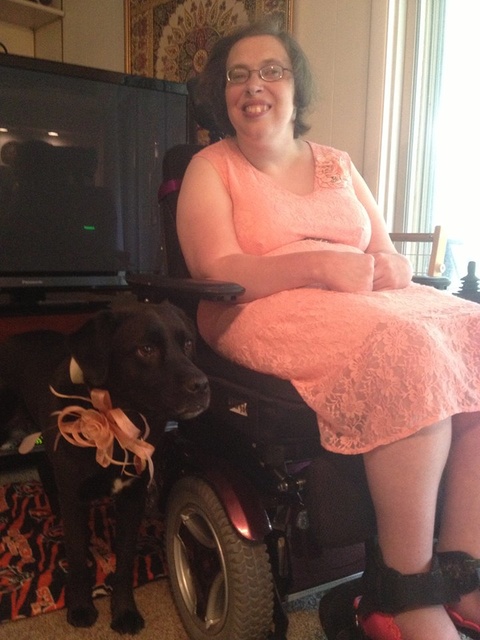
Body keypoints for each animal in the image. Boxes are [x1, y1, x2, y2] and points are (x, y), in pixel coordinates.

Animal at [0, 302, 210, 632]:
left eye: (188, 343)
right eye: (146, 349)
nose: (202, 385)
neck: (118, 419)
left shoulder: (132, 498)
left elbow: (124, 561)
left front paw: (124, 611)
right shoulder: (75, 495)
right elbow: (76, 557)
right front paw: (81, 607)